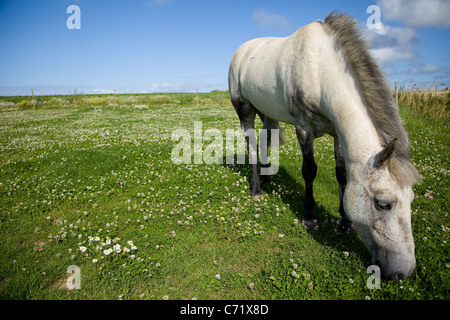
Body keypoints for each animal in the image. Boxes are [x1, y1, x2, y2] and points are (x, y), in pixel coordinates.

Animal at [229, 11, 422, 280]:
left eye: (412, 199)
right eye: (384, 204)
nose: (402, 272)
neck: (320, 69)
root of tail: (243, 50)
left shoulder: (336, 133)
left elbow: (342, 174)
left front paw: (345, 222)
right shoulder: (303, 128)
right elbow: (309, 170)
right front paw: (309, 215)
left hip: (267, 111)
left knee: (266, 139)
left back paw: (266, 180)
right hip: (244, 109)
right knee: (253, 145)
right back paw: (256, 188)